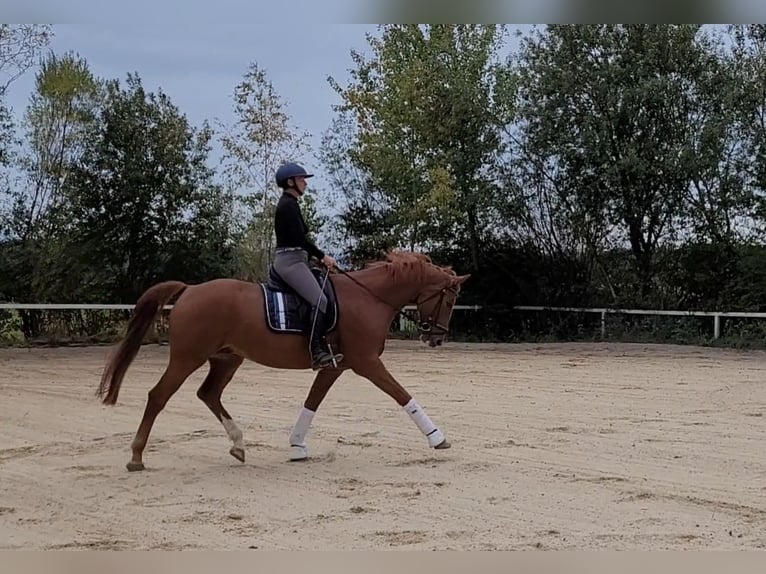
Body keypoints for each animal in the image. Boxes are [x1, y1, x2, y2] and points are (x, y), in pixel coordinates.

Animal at [99, 251, 472, 472]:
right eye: (449, 298)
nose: (437, 338)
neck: (368, 298)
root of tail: (190, 290)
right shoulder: (366, 363)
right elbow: (401, 394)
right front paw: (438, 438)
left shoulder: (335, 366)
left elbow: (312, 402)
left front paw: (296, 445)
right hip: (187, 357)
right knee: (158, 396)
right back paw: (136, 457)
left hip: (226, 359)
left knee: (208, 394)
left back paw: (238, 445)